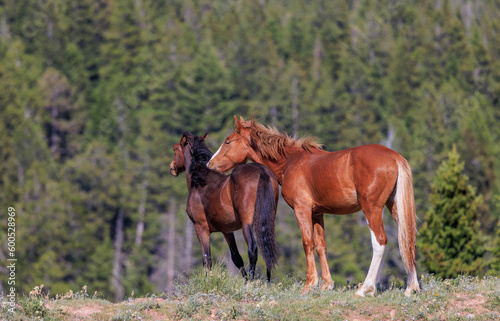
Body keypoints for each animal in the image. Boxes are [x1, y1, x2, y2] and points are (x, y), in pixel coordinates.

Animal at [171, 131, 282, 278]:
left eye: (175, 149)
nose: (172, 168)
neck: (201, 182)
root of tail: (262, 172)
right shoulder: (227, 231)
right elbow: (237, 258)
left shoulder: (200, 228)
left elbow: (207, 259)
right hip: (267, 220)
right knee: (267, 249)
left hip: (247, 223)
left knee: (253, 249)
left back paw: (252, 280)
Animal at [207, 116, 422, 296]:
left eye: (228, 141)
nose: (209, 164)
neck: (290, 162)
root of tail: (393, 156)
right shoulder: (318, 213)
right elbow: (320, 245)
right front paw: (327, 284)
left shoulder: (301, 210)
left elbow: (307, 243)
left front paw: (310, 284)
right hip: (394, 207)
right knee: (408, 239)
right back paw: (411, 288)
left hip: (372, 209)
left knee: (380, 241)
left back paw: (365, 289)